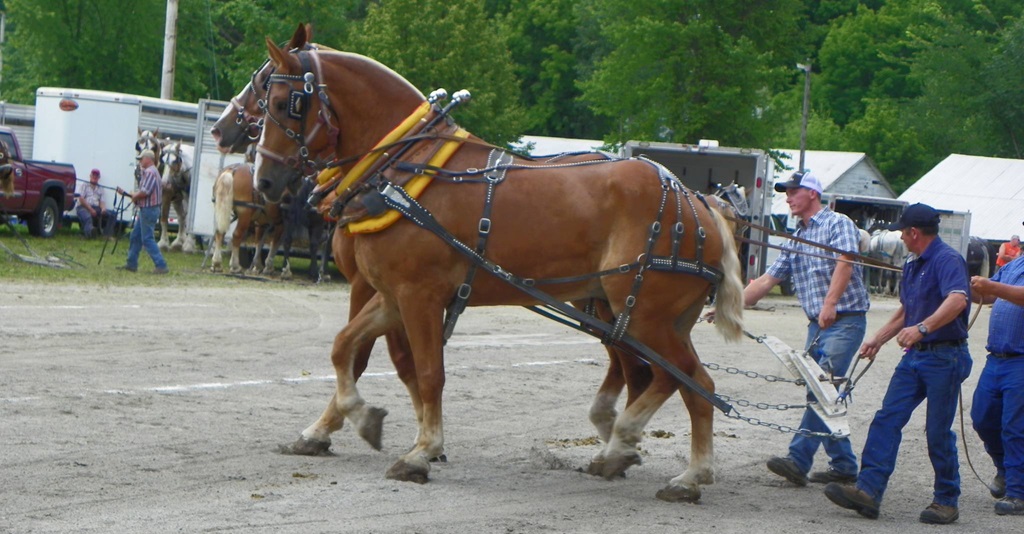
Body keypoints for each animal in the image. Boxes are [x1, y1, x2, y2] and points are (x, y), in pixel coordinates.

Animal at [252, 38, 744, 502]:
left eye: (281, 103)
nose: (264, 182)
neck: (407, 168)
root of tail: (699, 202)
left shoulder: (418, 295)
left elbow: (428, 372)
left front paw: (422, 451)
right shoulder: (392, 296)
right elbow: (345, 348)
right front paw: (360, 418)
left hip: (643, 316)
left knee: (690, 381)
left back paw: (676, 468)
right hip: (651, 319)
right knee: (674, 380)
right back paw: (633, 453)